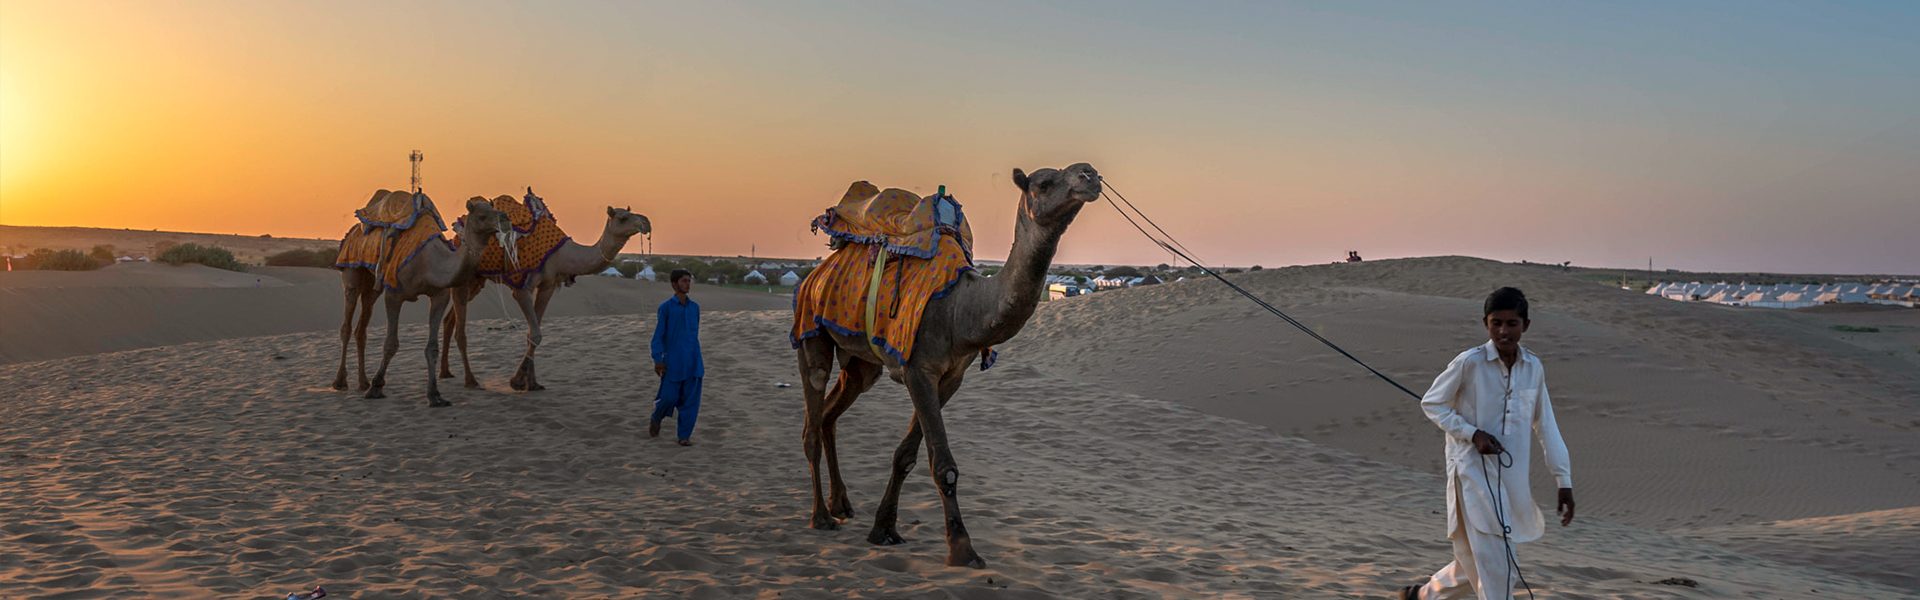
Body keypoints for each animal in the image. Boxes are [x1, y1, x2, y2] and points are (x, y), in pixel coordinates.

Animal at [337, 197, 514, 407]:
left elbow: (432, 347)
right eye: (482, 215)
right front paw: (376, 387)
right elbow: (391, 344)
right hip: (352, 271)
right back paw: (340, 382)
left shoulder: (439, 296)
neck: (429, 263)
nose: (505, 219)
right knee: (347, 324)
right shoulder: (394, 294)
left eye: (493, 208)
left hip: (372, 285)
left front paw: (435, 395)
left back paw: (363, 382)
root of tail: (353, 231)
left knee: (361, 326)